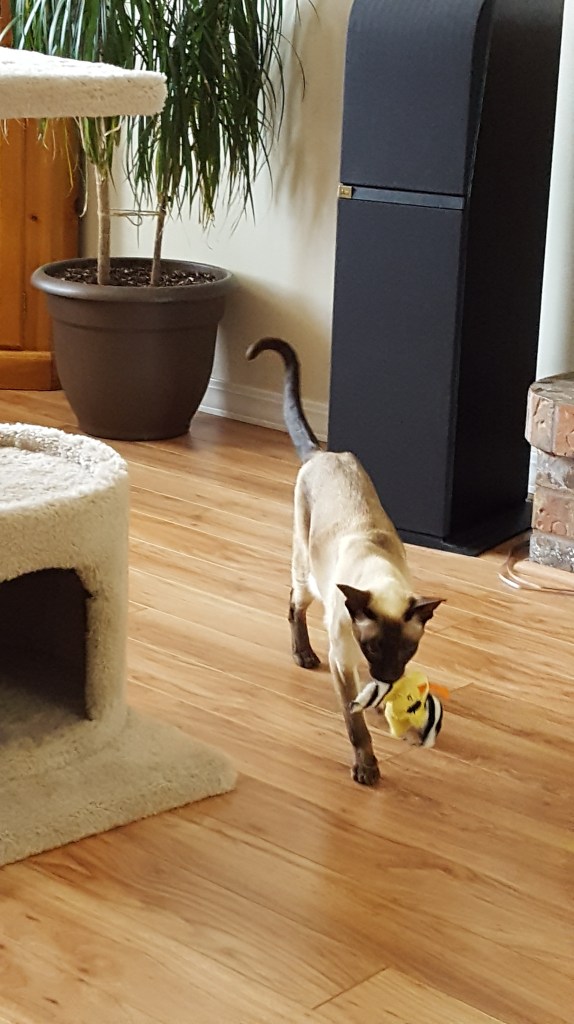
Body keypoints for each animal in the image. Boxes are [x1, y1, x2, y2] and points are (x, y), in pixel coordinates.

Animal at [246, 338, 444, 785]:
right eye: (373, 647)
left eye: (407, 651)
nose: (387, 677)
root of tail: (324, 453)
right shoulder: (344, 664)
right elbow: (356, 726)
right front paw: (367, 768)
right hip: (307, 576)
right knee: (293, 603)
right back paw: (303, 657)